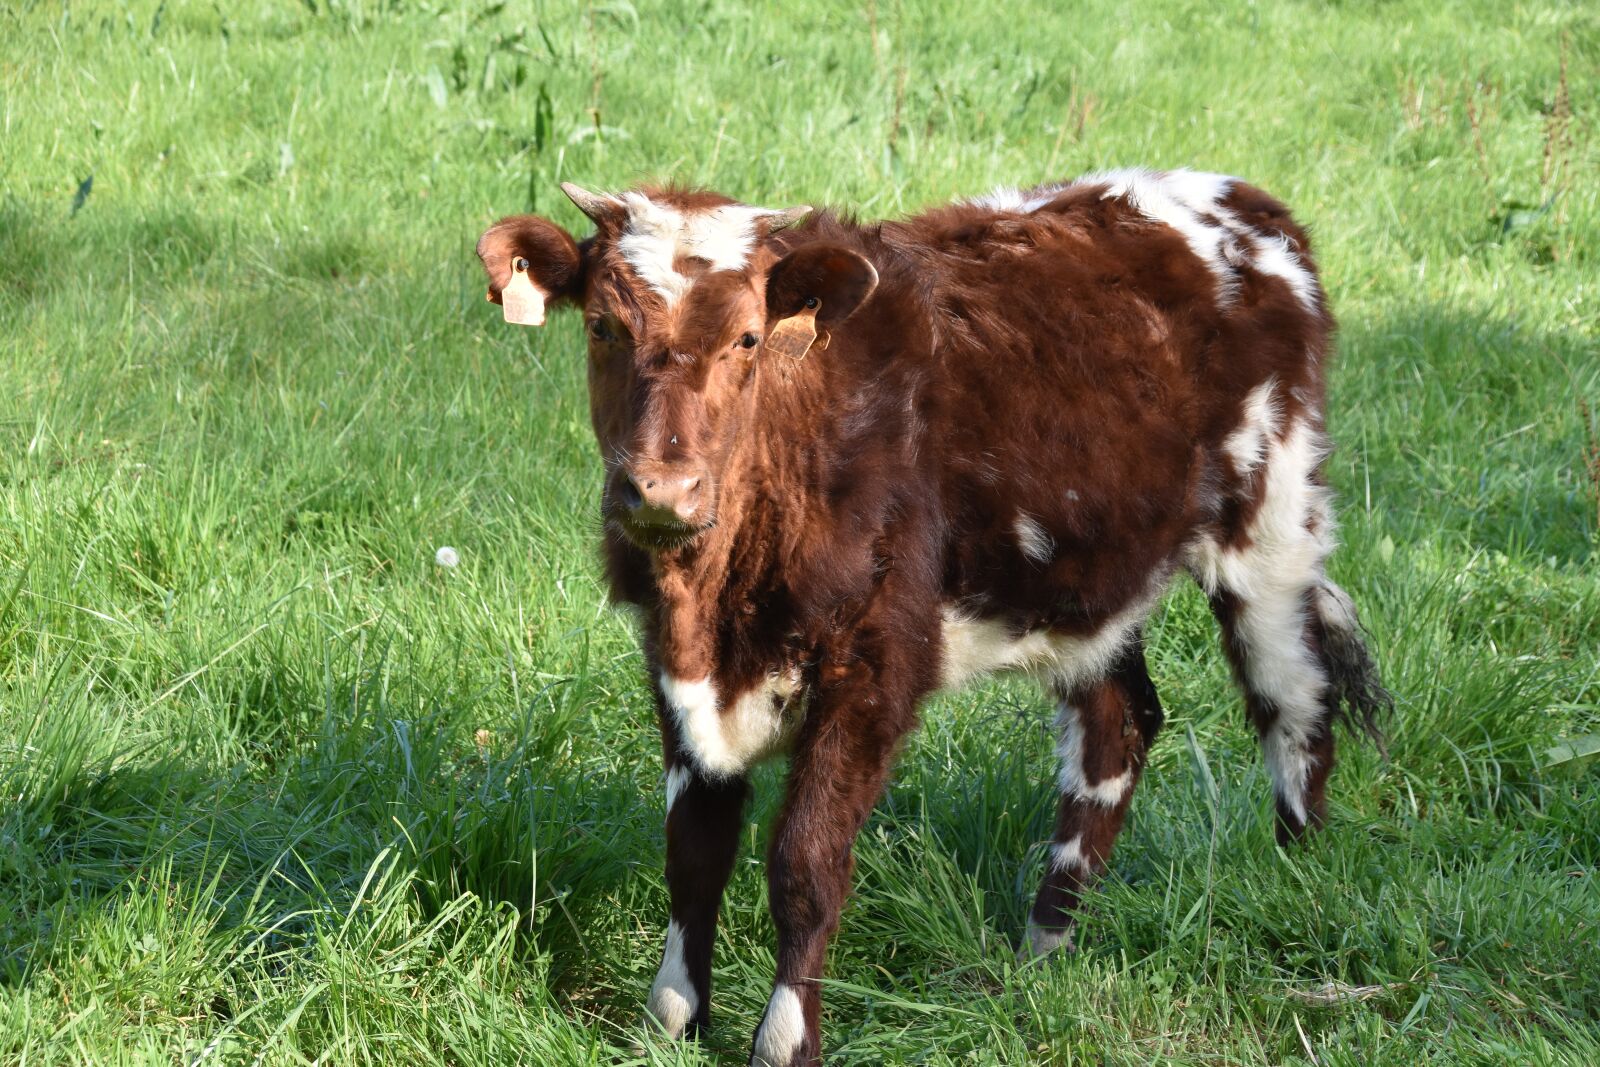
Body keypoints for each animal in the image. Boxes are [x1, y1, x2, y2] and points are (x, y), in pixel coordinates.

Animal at [475, 169, 1388, 1066]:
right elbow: (694, 850)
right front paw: (672, 1020)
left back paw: (1294, 879)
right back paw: (1043, 947)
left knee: (1295, 702)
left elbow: (805, 860)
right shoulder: (674, 662)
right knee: (1117, 724)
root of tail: (1247, 204)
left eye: (748, 339)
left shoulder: (874, 662)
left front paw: (784, 1039)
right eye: (602, 326)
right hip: (1089, 578)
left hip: (1271, 525)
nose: (662, 490)